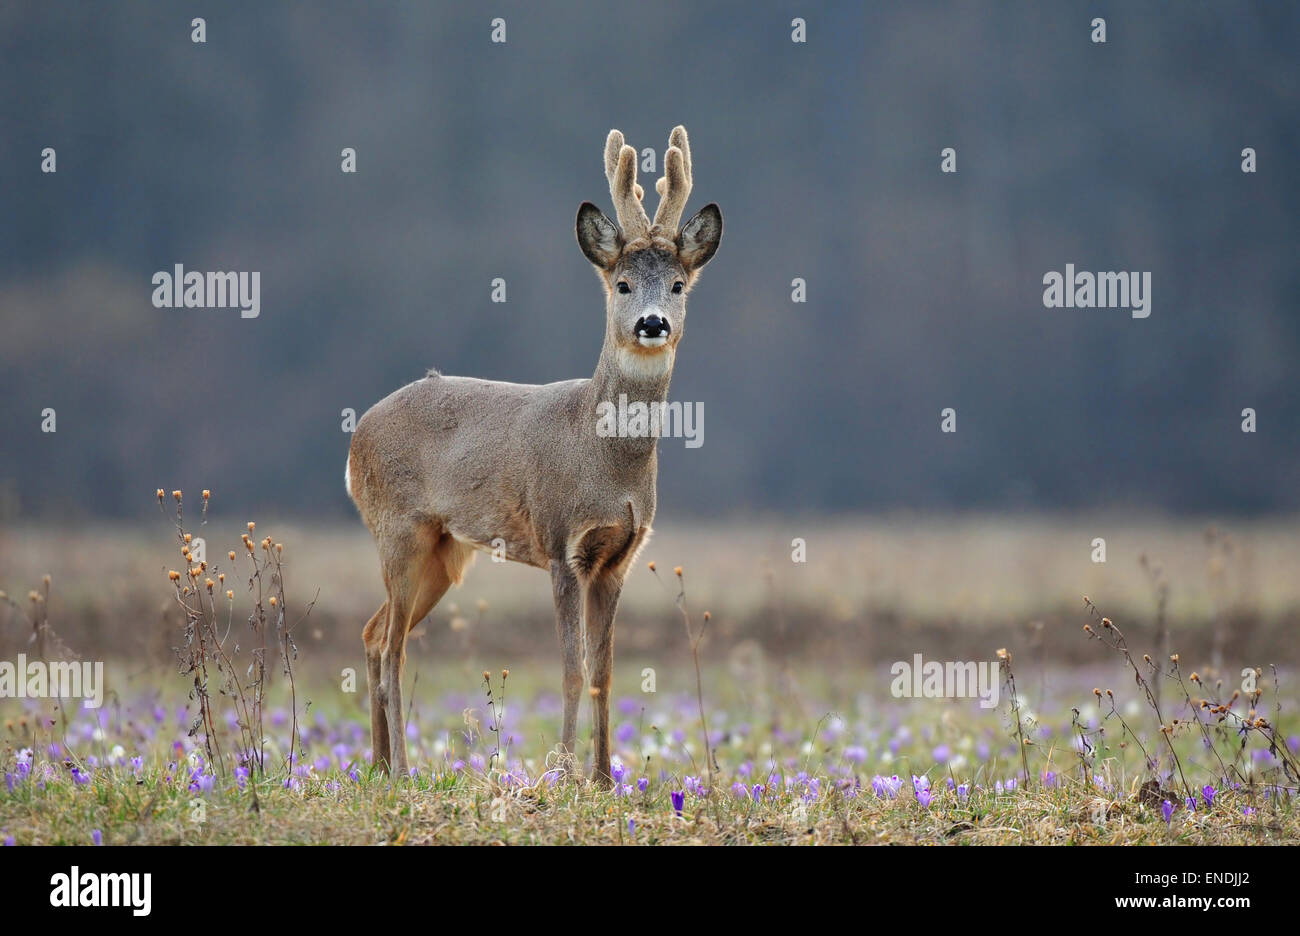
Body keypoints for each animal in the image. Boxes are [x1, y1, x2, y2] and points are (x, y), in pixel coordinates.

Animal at [345, 127, 722, 785]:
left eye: (678, 285)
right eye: (622, 284)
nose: (652, 323)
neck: (605, 460)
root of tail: (354, 438)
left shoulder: (618, 558)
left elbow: (604, 673)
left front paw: (604, 776)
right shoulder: (560, 542)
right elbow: (571, 669)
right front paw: (565, 774)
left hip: (443, 554)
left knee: (372, 633)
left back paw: (379, 764)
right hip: (397, 529)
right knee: (392, 647)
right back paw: (404, 770)